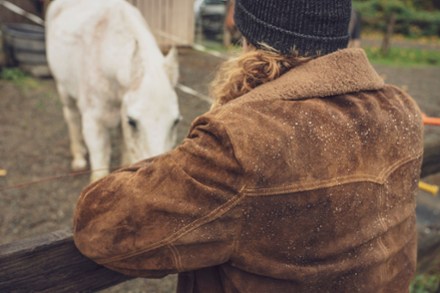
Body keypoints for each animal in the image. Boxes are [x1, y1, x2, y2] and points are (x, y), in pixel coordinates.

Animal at [45, 0, 180, 180]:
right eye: (132, 121)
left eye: (176, 121)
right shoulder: (95, 125)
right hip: (64, 90)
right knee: (72, 117)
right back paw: (79, 158)